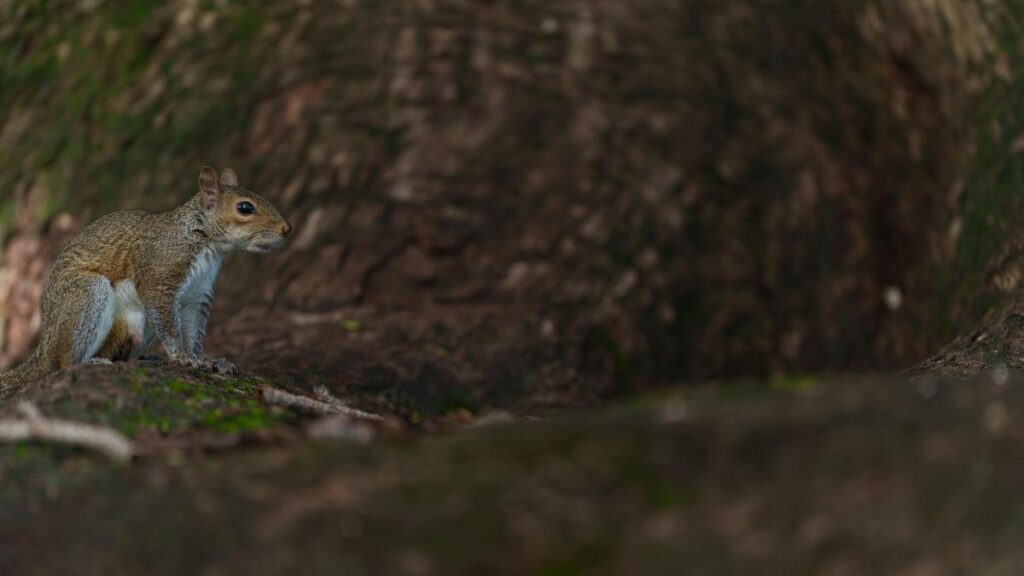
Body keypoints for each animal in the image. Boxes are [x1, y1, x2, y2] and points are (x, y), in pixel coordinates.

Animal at [0, 163, 290, 391]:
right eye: (245, 208)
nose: (286, 229)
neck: (205, 242)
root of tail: (44, 347)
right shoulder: (160, 276)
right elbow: (170, 323)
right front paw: (181, 356)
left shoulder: (198, 293)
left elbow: (193, 329)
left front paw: (206, 360)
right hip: (85, 295)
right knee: (63, 363)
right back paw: (90, 361)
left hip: (140, 326)